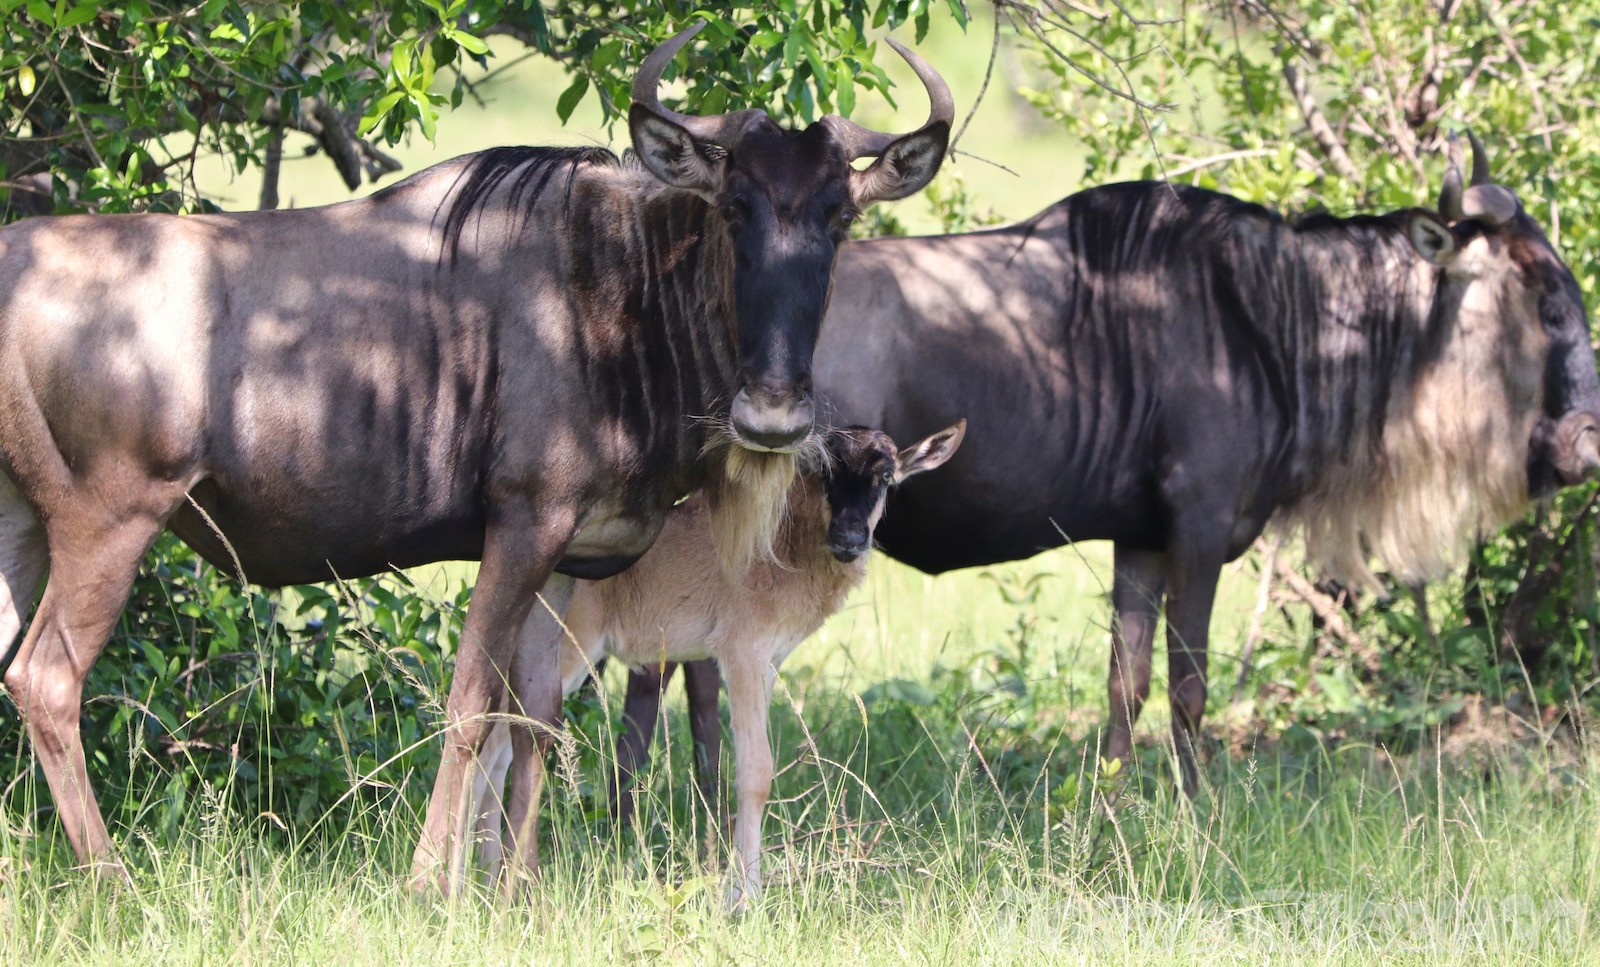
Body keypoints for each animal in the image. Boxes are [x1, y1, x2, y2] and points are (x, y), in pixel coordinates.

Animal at [0, 23, 953, 892]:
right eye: (734, 208)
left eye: (839, 217)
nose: (774, 413)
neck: (623, 291)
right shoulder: (523, 524)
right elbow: (469, 708)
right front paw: (432, 882)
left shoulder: (568, 555)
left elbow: (532, 718)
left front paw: (517, 887)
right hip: (108, 521)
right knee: (48, 678)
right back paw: (110, 876)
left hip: (22, 527)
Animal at [608, 131, 1600, 805]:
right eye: (1547, 299)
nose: (1585, 443)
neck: (1272, 319)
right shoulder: (1199, 533)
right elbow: (1192, 684)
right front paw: (1198, 806)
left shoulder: (1141, 541)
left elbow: (1127, 675)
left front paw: (1114, 795)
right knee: (673, 662)